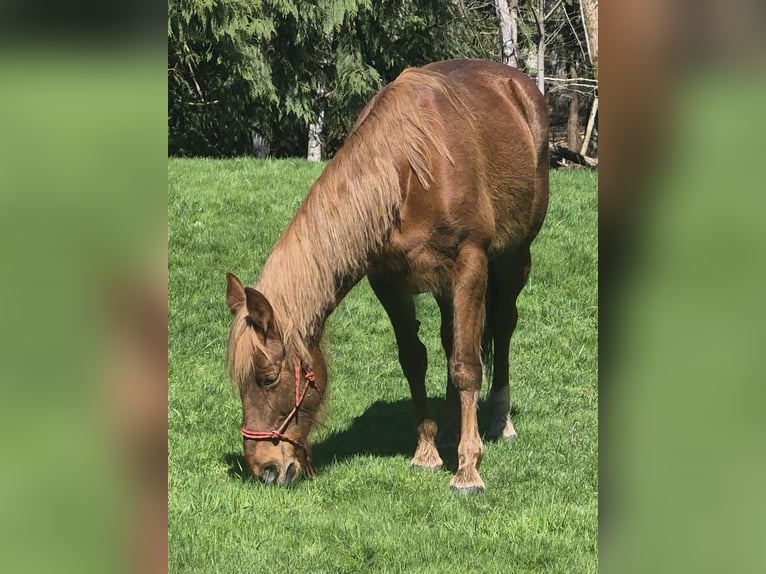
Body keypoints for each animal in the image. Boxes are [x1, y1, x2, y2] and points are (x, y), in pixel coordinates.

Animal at [225, 59, 549, 493]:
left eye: (268, 378)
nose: (265, 469)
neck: (409, 171)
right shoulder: (388, 281)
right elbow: (415, 359)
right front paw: (427, 453)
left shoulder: (470, 265)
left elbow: (467, 365)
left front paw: (467, 470)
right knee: (450, 338)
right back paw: (451, 426)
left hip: (514, 258)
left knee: (501, 326)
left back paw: (500, 421)